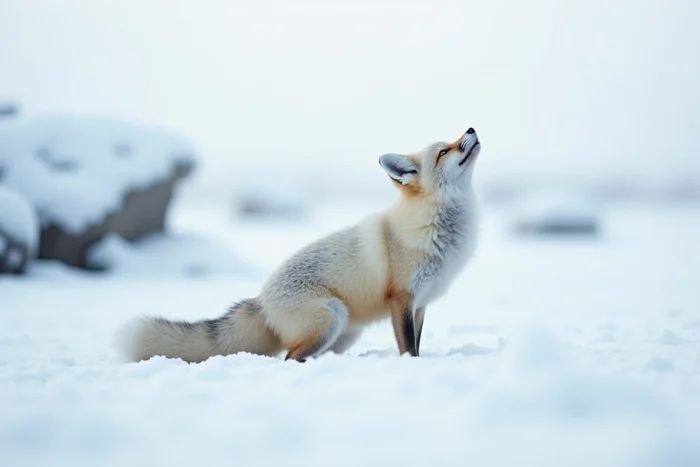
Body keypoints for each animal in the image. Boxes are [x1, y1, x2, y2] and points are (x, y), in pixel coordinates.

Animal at [118, 127, 482, 363]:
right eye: (444, 152)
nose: (471, 128)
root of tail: (262, 300)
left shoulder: (420, 303)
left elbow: (416, 342)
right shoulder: (402, 297)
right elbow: (408, 348)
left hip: (342, 333)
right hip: (330, 319)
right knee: (288, 358)